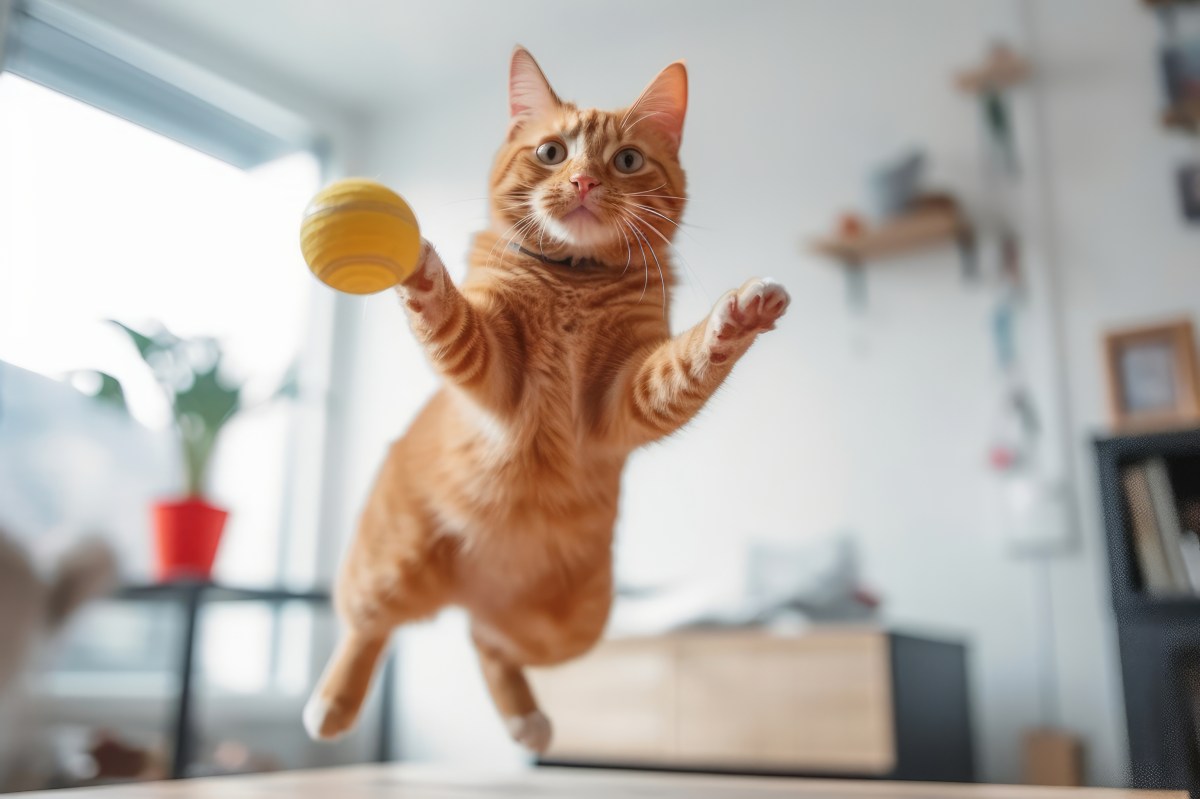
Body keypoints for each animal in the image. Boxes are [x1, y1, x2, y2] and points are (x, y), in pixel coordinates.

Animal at [302, 46, 787, 748]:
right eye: (553, 153)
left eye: (627, 161)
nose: (583, 182)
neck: (573, 283)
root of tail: (470, 593)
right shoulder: (488, 363)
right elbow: (446, 311)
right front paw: (417, 265)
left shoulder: (629, 395)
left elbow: (692, 358)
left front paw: (741, 314)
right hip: (387, 566)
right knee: (368, 626)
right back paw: (331, 705)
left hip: (570, 631)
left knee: (487, 642)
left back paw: (524, 718)